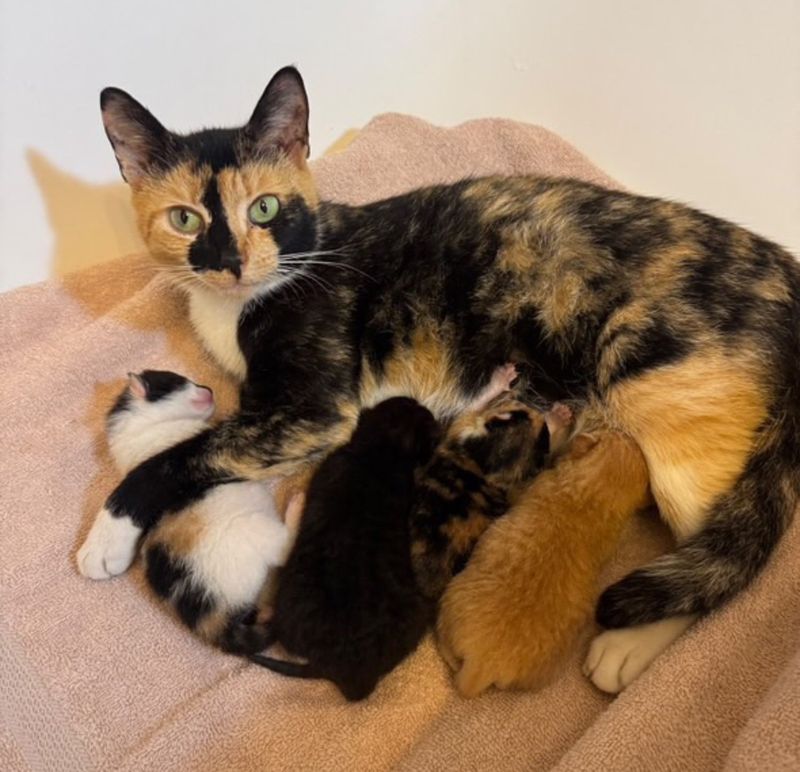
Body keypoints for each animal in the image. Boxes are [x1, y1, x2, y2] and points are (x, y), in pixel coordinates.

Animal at [82, 370, 300, 656]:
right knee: (284, 547)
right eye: (180, 381)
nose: (208, 388)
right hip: (253, 528)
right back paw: (298, 505)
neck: (139, 430)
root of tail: (209, 618)